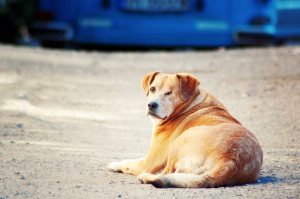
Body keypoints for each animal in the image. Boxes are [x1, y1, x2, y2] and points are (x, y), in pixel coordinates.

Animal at [108, 72, 262, 188]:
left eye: (169, 93)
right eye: (152, 89)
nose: (151, 105)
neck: (186, 105)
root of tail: (230, 161)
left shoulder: (149, 163)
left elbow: (128, 162)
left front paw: (114, 164)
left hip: (178, 143)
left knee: (165, 174)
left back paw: (146, 177)